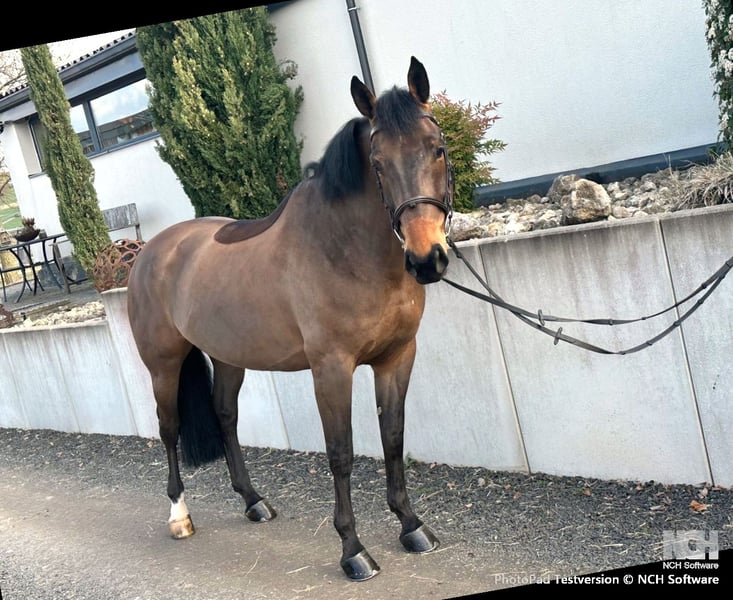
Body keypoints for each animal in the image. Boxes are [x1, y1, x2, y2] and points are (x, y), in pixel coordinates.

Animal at [126, 56, 453, 581]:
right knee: (169, 428)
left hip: (230, 356)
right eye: (378, 165)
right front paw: (353, 550)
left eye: (437, 149)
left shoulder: (397, 357)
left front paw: (411, 525)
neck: (345, 248)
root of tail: (149, 252)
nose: (427, 260)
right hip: (163, 364)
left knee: (225, 416)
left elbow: (393, 438)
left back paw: (253, 501)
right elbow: (341, 454)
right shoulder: (331, 369)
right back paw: (179, 515)